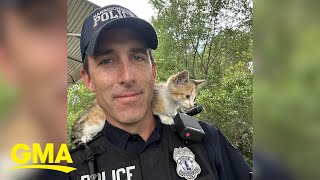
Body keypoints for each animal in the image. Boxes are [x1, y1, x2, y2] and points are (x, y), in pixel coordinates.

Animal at [70, 69, 205, 146]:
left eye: (194, 99)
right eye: (187, 96)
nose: (191, 105)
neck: (171, 101)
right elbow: (158, 112)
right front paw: (167, 118)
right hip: (99, 120)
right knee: (86, 128)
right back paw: (85, 137)